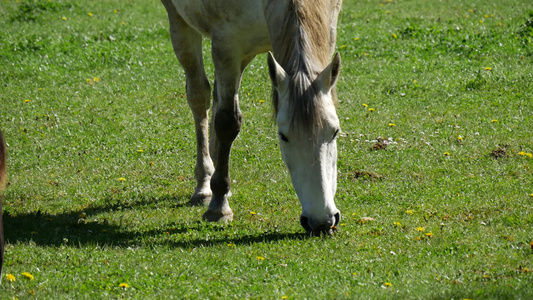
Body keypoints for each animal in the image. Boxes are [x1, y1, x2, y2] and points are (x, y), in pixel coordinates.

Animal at [162, 0, 342, 234]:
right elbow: (227, 122)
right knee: (200, 96)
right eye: (283, 136)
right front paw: (219, 207)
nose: (321, 222)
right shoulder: (226, 45)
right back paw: (205, 184)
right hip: (181, 23)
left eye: (335, 132)